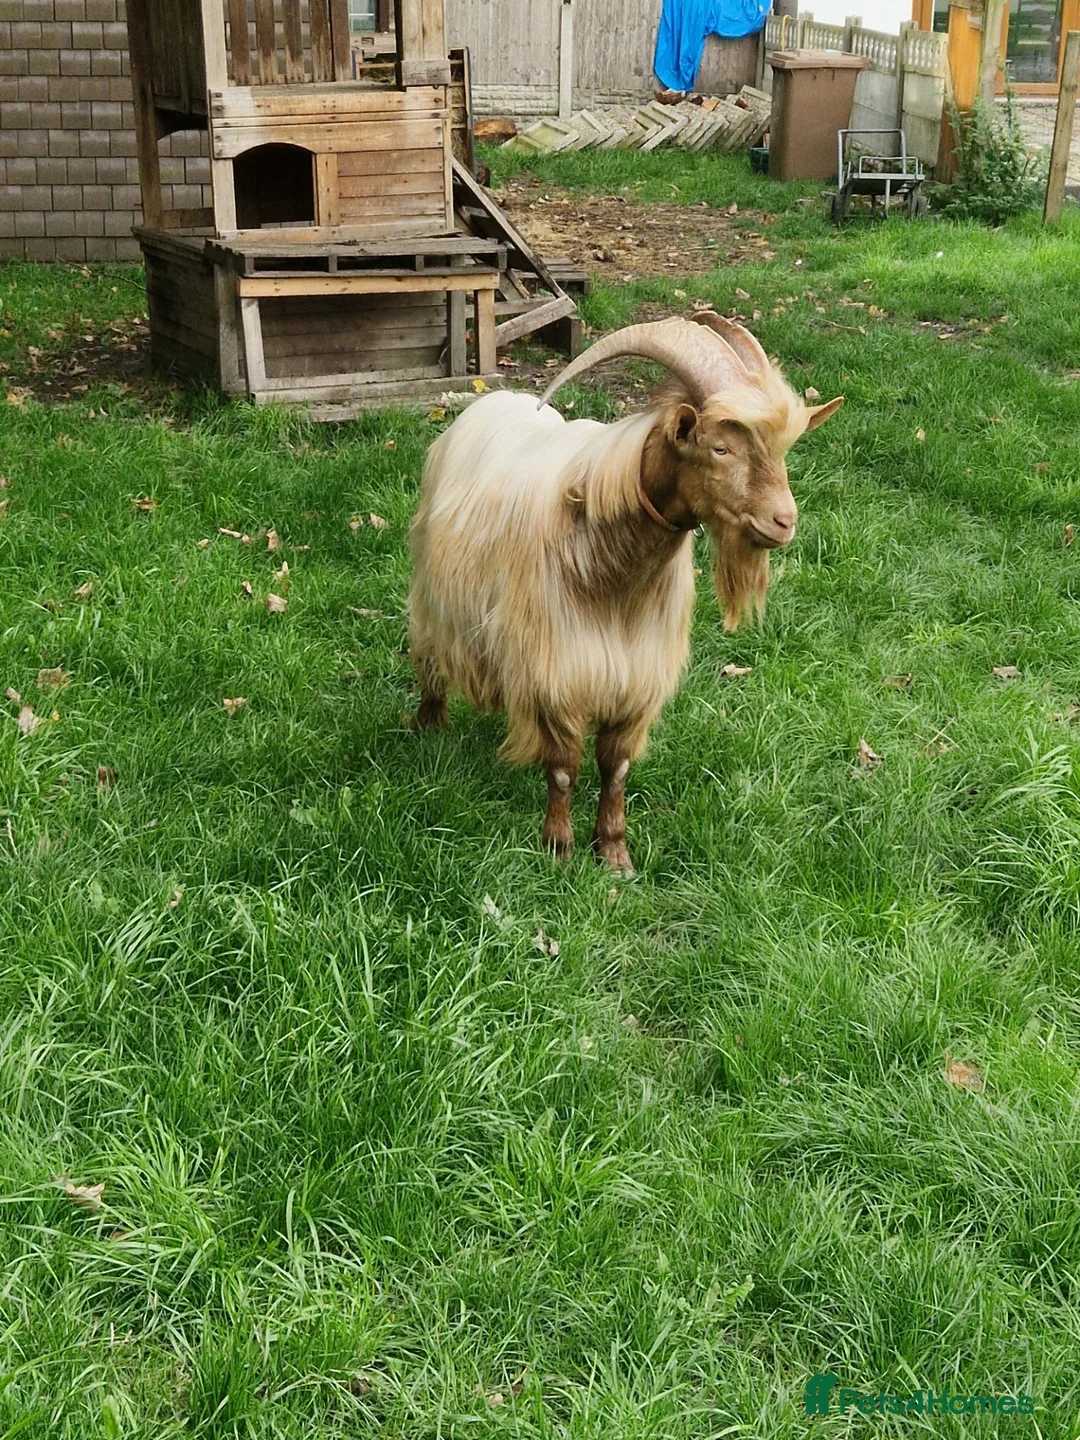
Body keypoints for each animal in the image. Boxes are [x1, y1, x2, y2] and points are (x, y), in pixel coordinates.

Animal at [407, 312, 841, 872]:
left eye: (784, 451)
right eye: (720, 448)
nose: (783, 522)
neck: (614, 579)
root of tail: (493, 399)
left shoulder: (635, 678)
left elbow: (615, 768)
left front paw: (615, 853)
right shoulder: (559, 670)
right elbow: (564, 767)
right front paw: (559, 848)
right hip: (431, 593)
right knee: (430, 657)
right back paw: (429, 725)